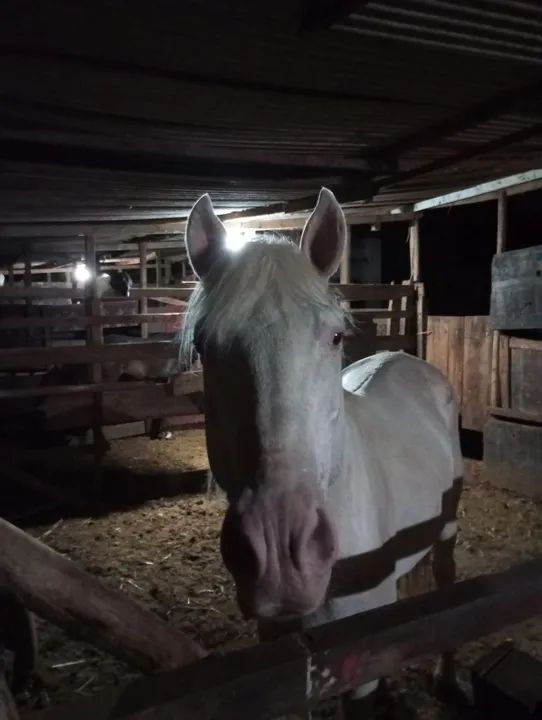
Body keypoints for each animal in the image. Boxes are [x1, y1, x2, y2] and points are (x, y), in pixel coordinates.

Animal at [180, 189, 464, 719]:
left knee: (447, 582)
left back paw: (447, 677)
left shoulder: (357, 666)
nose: (280, 554)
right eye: (204, 345)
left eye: (335, 337)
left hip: (448, 531)